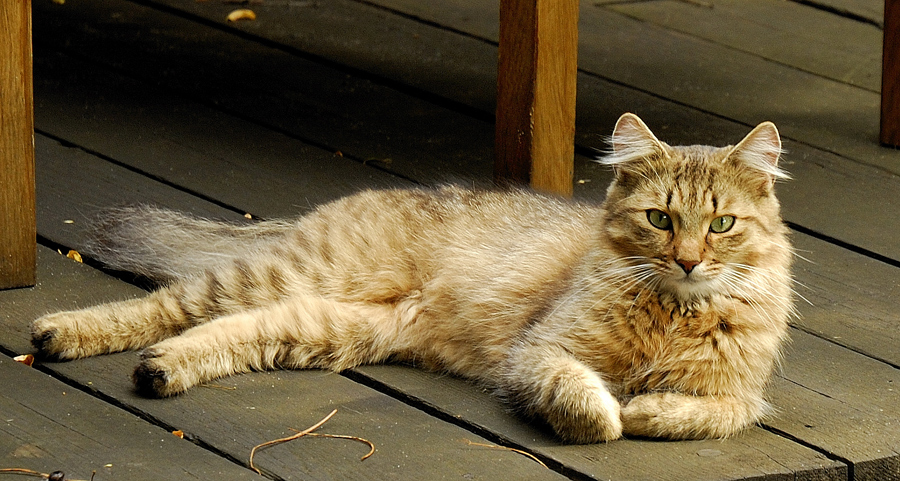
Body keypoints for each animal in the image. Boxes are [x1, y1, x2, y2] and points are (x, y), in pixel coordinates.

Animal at [31, 113, 796, 442]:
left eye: (721, 225)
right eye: (661, 219)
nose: (689, 260)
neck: (675, 312)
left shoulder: (740, 394)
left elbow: (708, 414)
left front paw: (646, 407)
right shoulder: (541, 351)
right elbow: (585, 399)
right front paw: (612, 412)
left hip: (327, 327)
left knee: (222, 331)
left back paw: (161, 370)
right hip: (291, 278)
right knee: (168, 303)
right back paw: (59, 333)